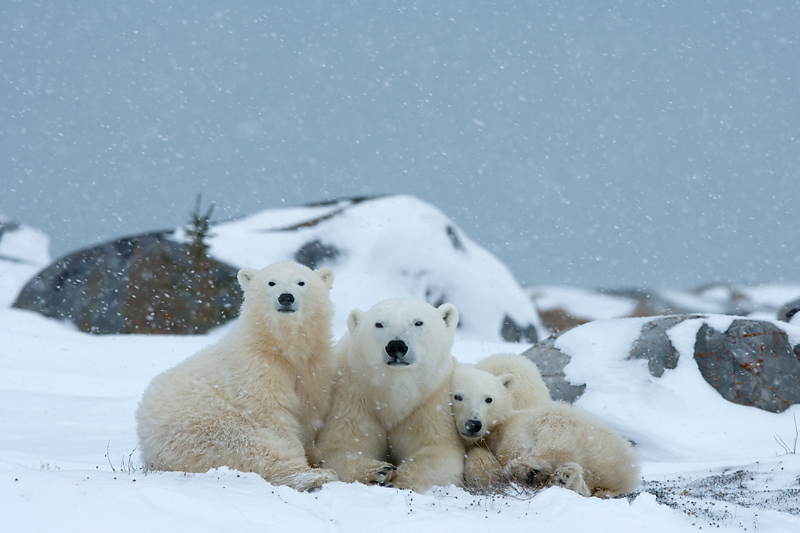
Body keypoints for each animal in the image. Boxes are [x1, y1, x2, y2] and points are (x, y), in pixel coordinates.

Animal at [136, 260, 336, 490]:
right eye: (271, 282)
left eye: (301, 282)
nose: (286, 297)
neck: (282, 347)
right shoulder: (255, 365)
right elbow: (270, 412)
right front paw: (304, 457)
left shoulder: (314, 367)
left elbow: (310, 408)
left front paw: (312, 450)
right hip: (198, 419)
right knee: (244, 442)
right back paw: (315, 476)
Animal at [316, 298, 466, 492]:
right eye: (379, 324)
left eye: (418, 322)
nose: (396, 345)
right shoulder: (352, 395)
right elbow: (339, 446)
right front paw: (378, 471)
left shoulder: (431, 399)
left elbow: (438, 449)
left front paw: (400, 480)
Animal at [454, 364, 640, 496]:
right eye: (458, 397)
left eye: (488, 399)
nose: (473, 424)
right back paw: (566, 479)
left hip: (572, 428)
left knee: (552, 441)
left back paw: (528, 469)